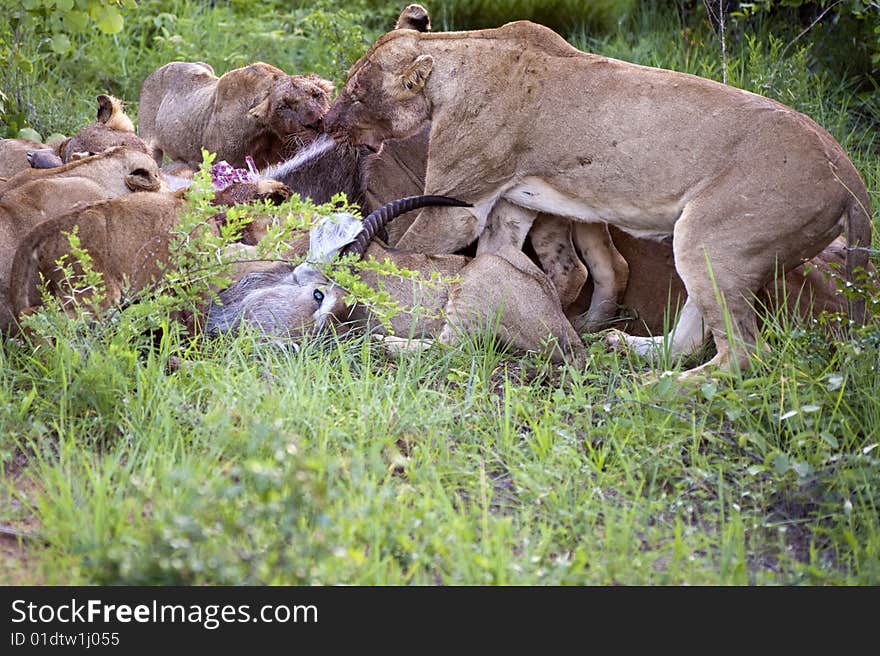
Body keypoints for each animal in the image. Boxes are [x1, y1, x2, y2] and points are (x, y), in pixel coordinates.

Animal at [324, 20, 872, 376]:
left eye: (355, 93)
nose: (327, 122)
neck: (459, 59)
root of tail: (848, 170)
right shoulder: (513, 204)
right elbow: (497, 263)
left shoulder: (461, 201)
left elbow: (412, 251)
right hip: (706, 246)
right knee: (693, 335)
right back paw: (624, 345)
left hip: (713, 237)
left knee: (742, 354)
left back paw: (657, 388)